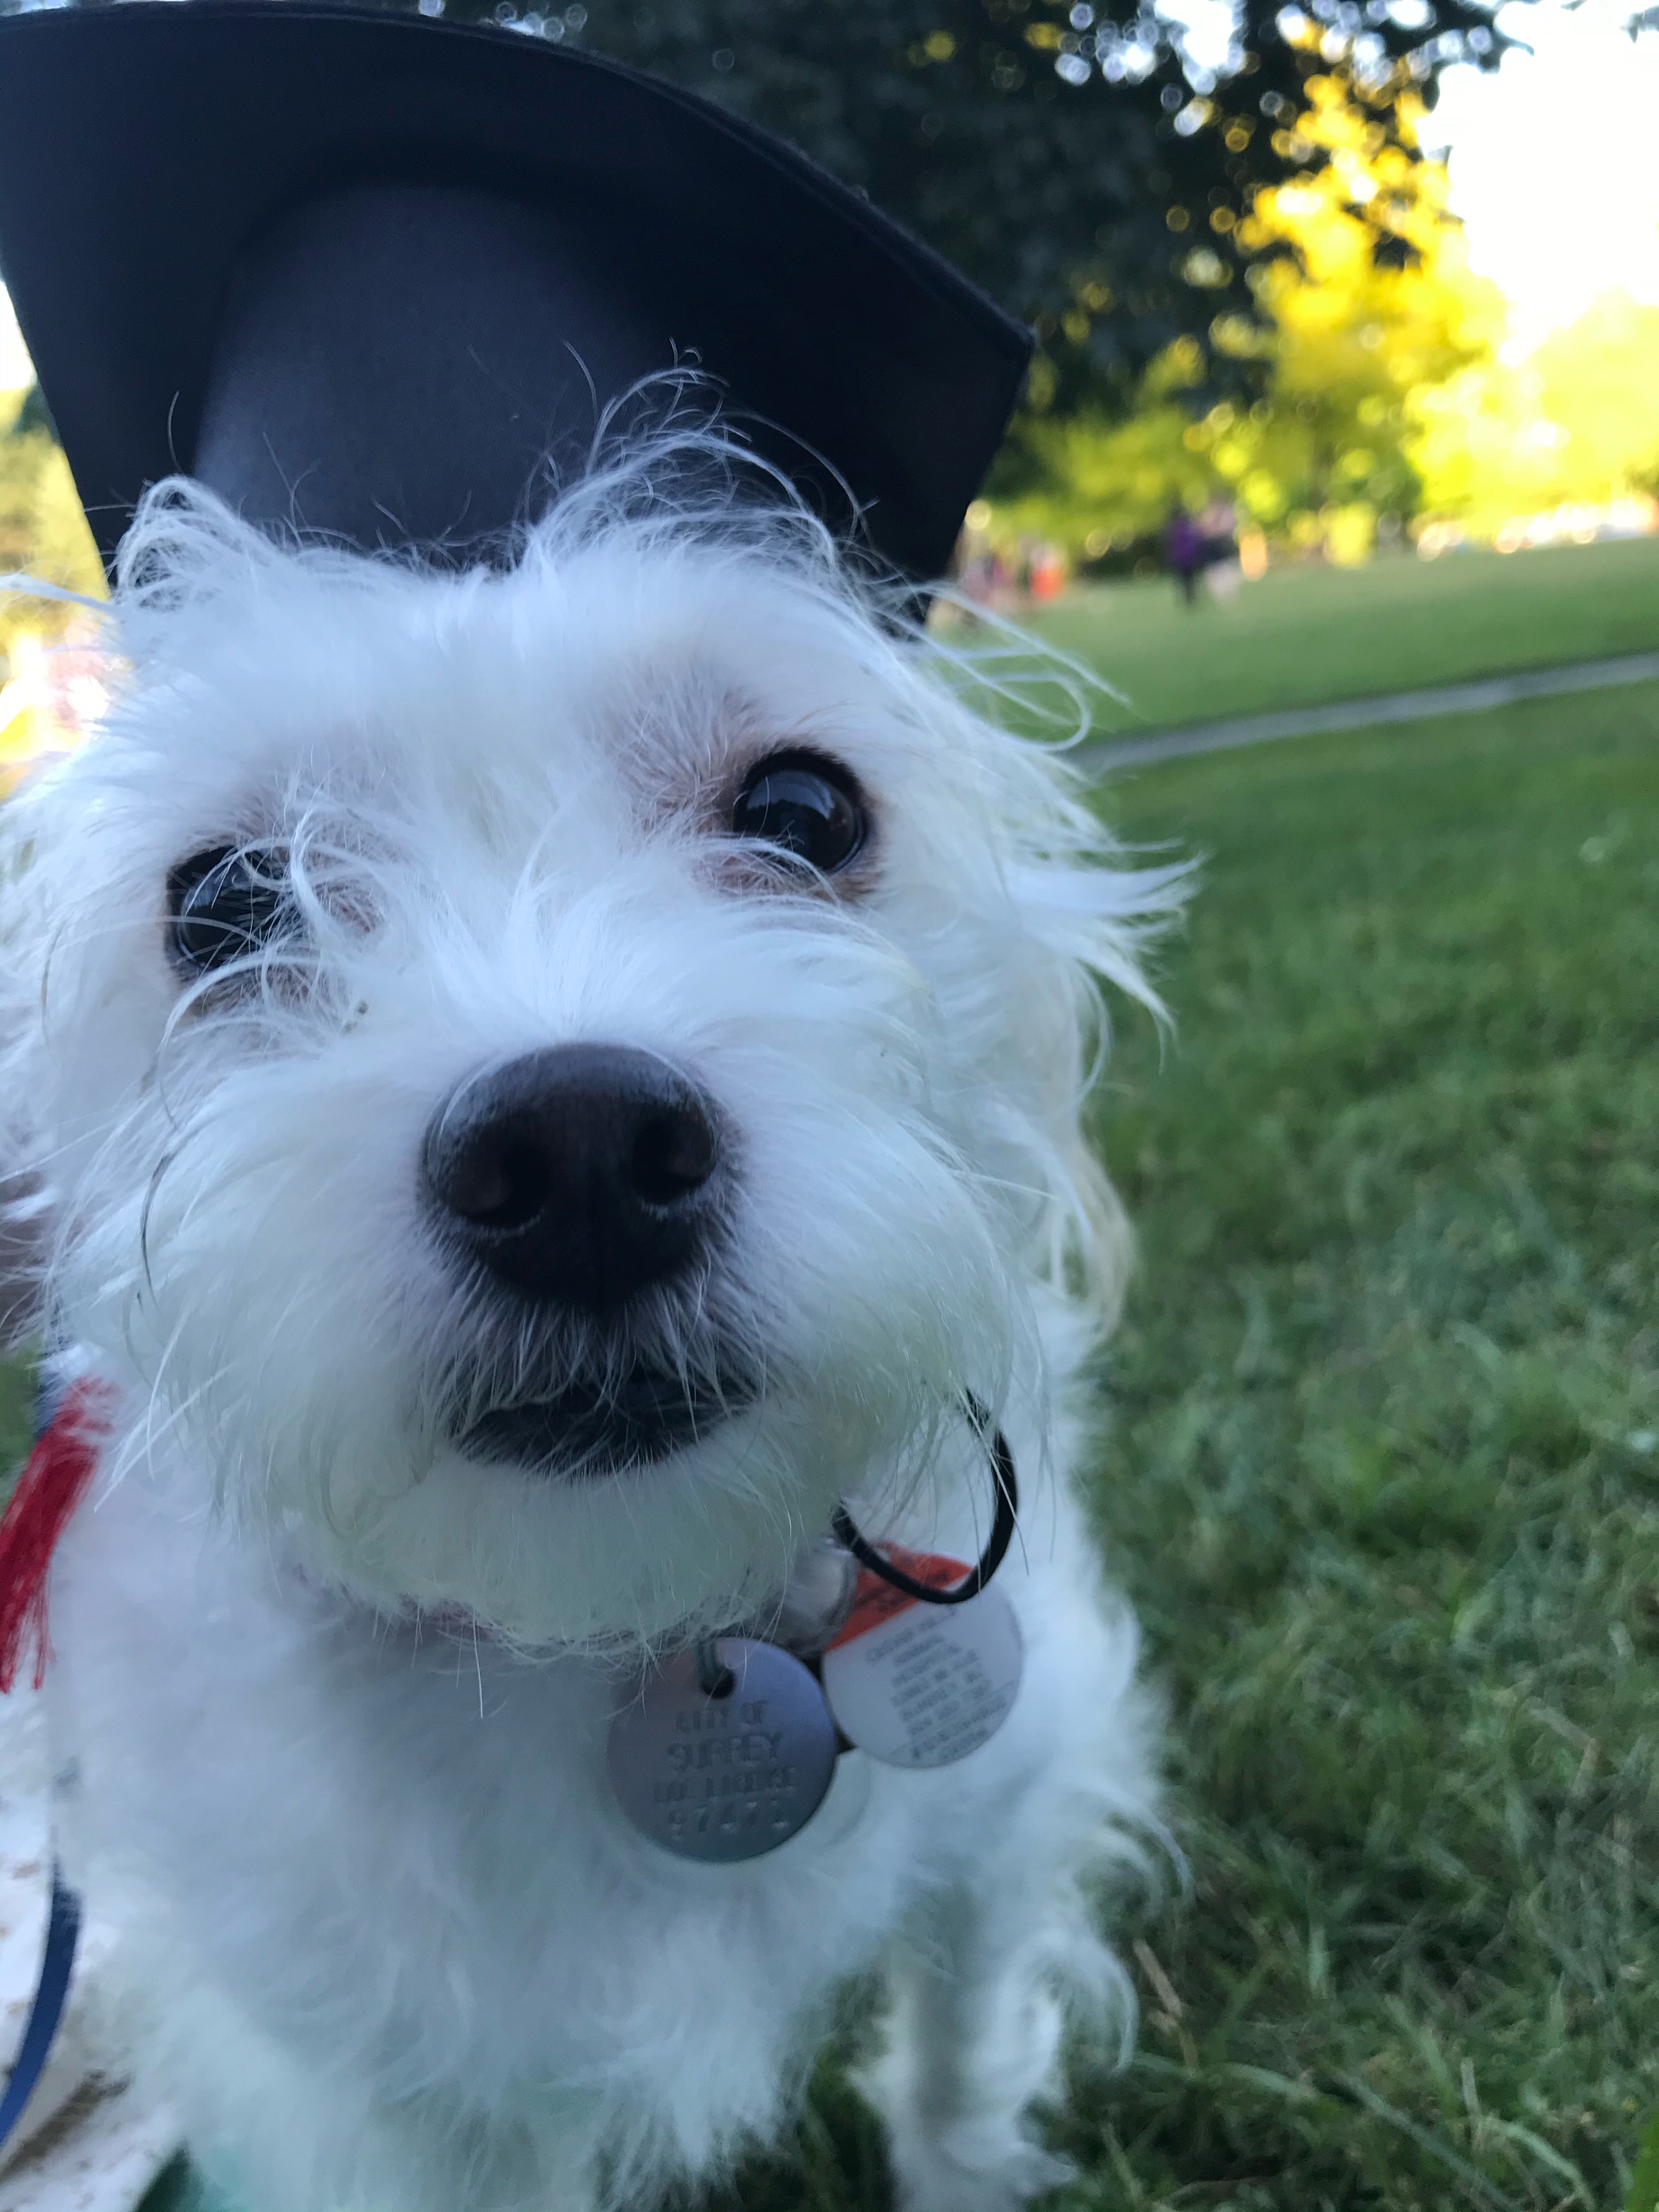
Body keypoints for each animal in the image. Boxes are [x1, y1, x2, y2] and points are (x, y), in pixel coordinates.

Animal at [0, 448, 1181, 2212]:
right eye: (226, 899)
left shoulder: (1005, 1784)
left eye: (804, 810)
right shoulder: (363, 2089)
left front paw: (965, 2165)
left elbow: (962, 2039)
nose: (577, 1161)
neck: (623, 1624)